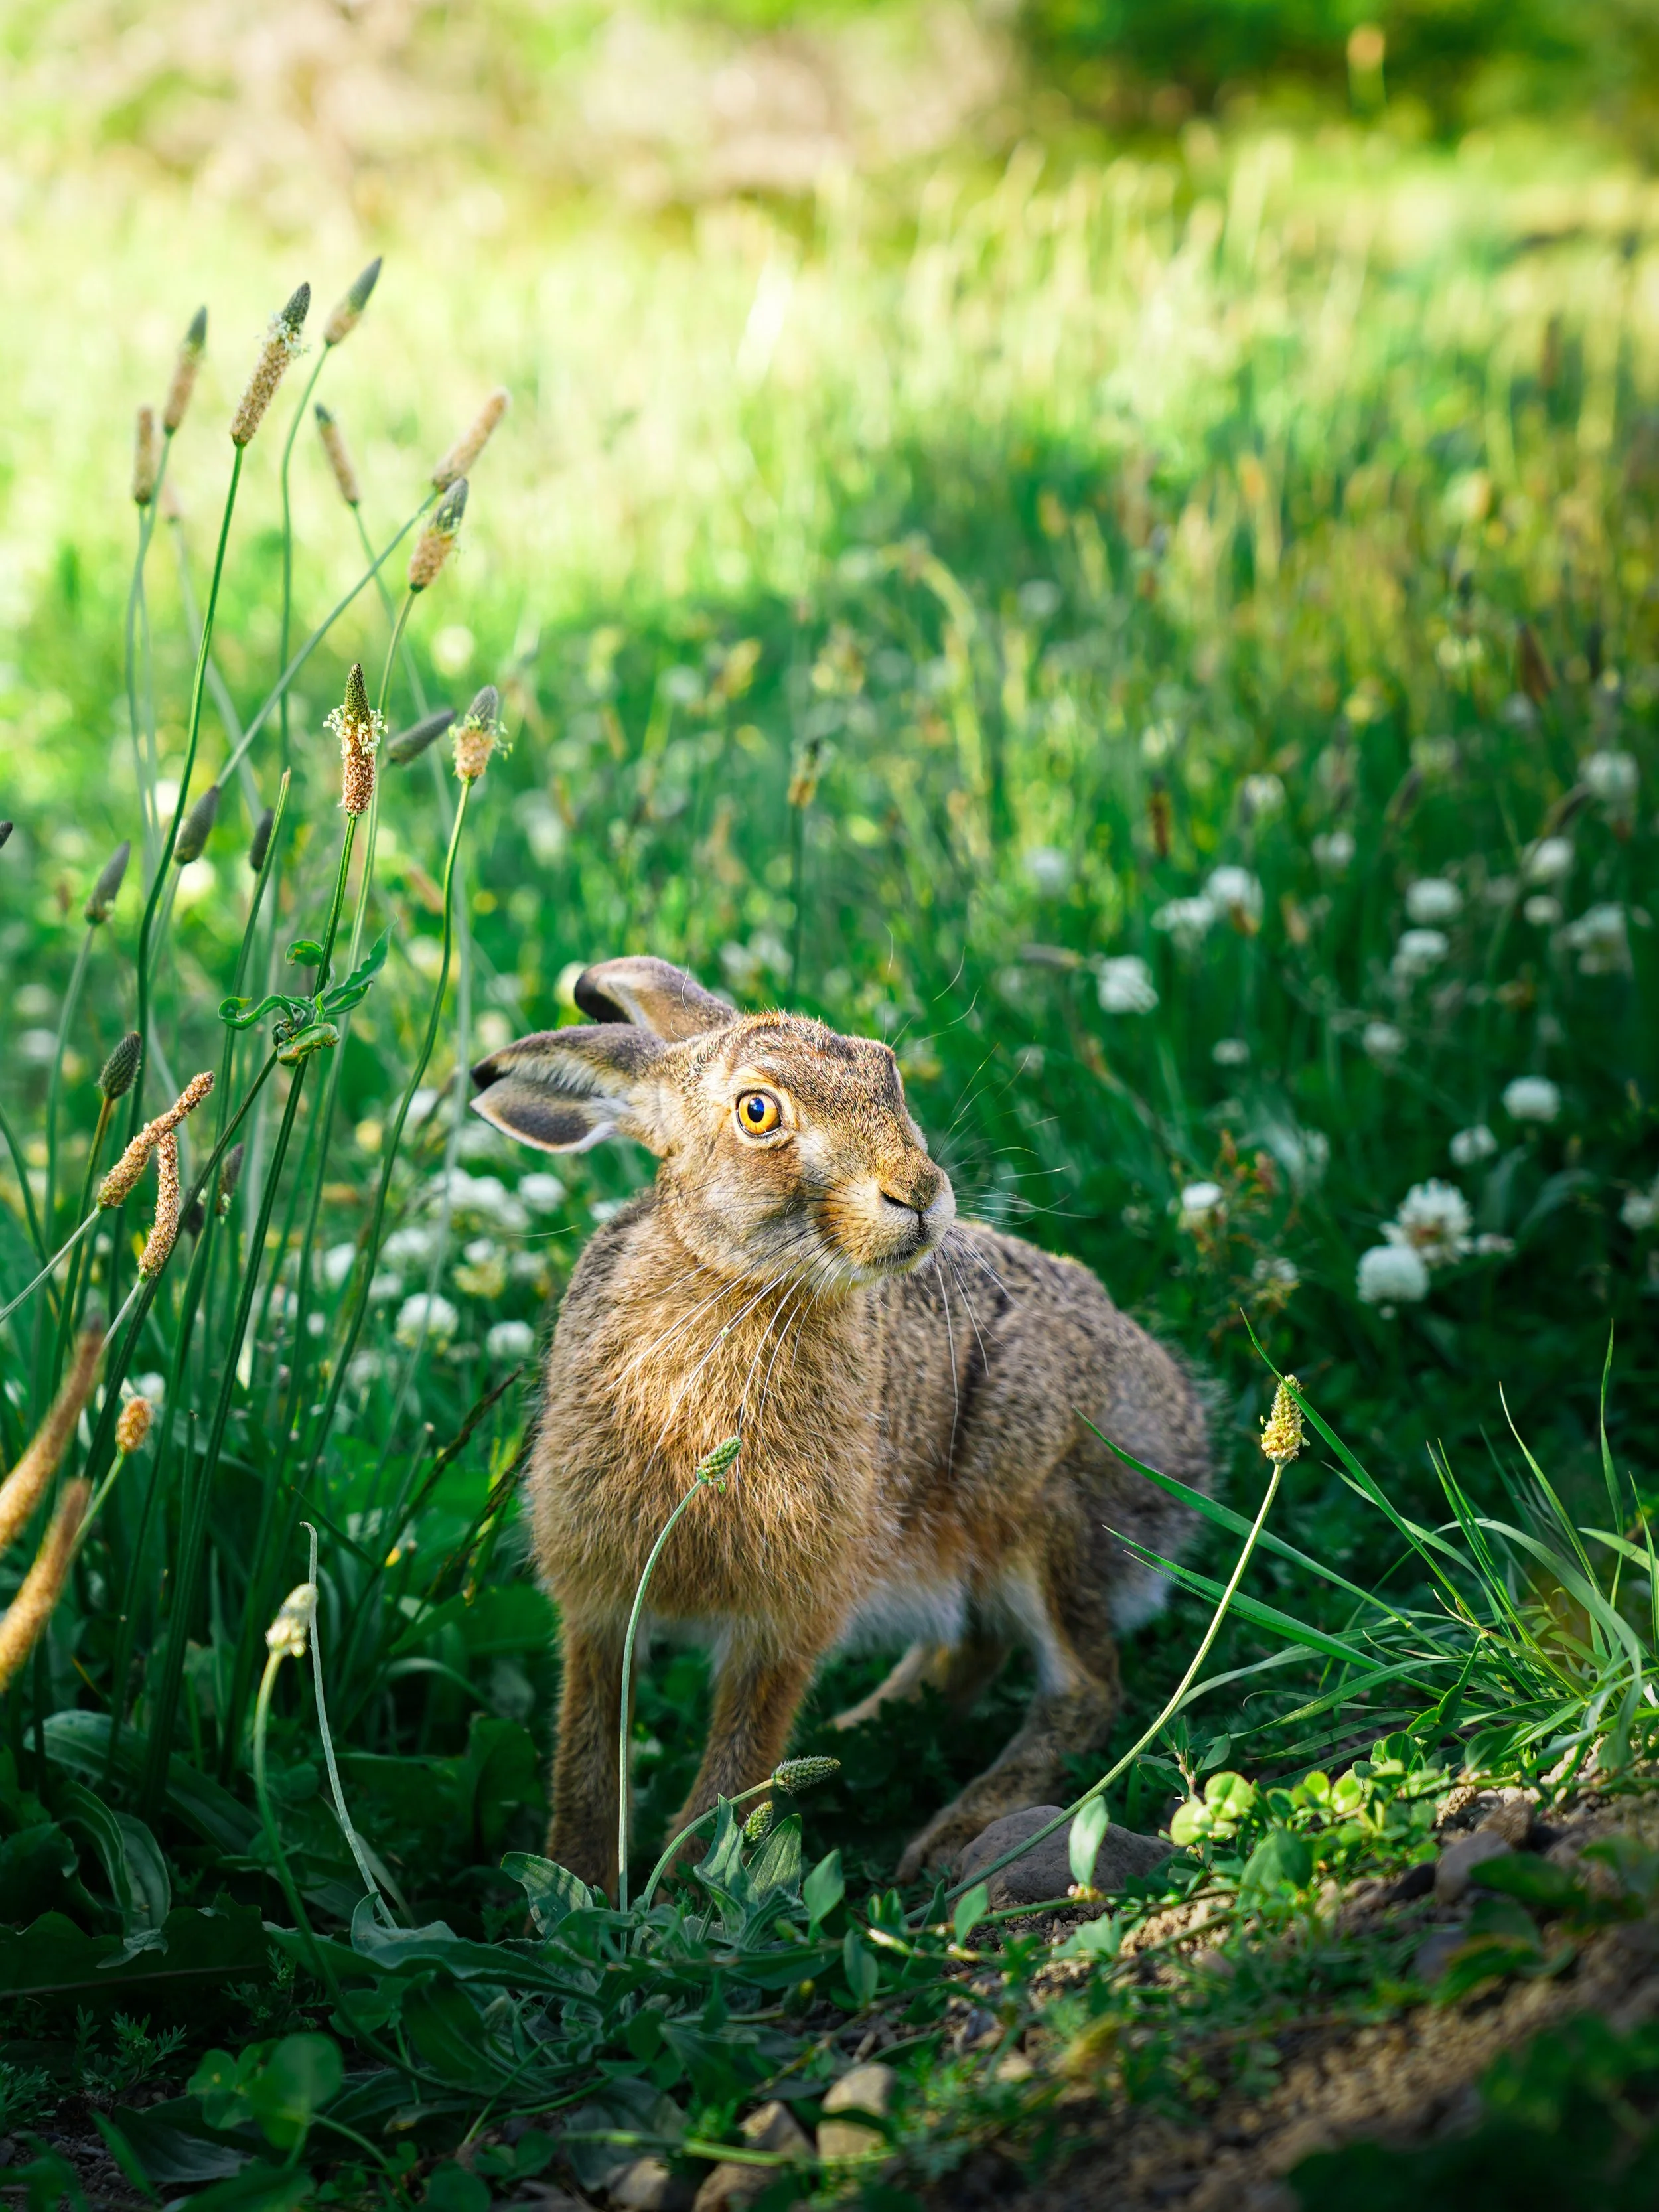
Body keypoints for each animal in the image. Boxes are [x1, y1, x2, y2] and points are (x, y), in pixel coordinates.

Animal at [469, 956, 1210, 1895]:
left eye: (885, 1070)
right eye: (757, 1112)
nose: (920, 1194)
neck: (741, 1286)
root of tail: (1185, 1447)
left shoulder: (790, 1608)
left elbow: (735, 1766)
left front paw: (685, 1893)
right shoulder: (600, 1602)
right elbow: (588, 1758)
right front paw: (577, 1888)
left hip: (1037, 1510)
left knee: (1081, 1686)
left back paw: (947, 1832)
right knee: (968, 1654)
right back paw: (857, 1741)